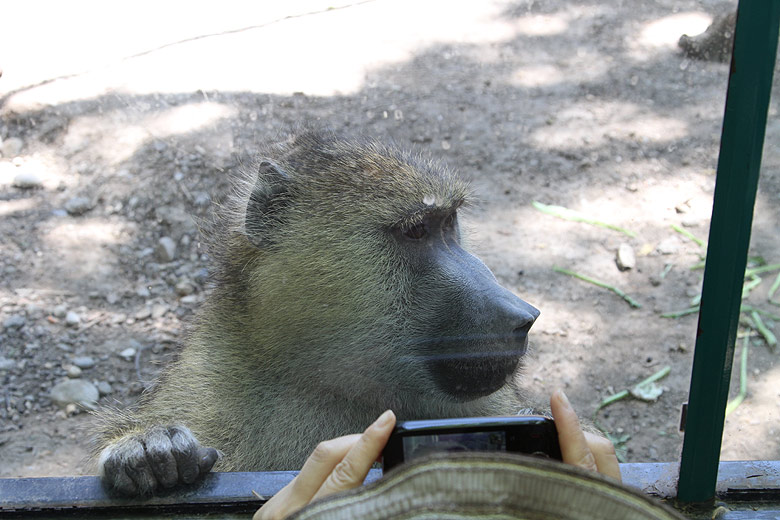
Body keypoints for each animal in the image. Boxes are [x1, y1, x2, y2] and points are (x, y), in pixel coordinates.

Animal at [94, 129, 540, 496]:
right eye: (417, 230)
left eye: (449, 223)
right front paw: (148, 453)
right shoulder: (204, 381)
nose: (524, 315)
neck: (324, 379)